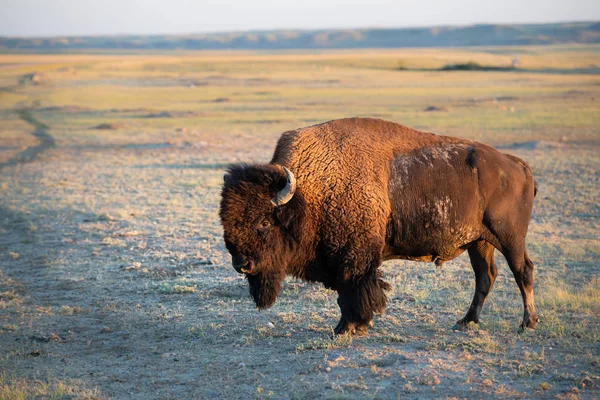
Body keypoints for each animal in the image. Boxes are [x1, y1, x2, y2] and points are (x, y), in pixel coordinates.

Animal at [220, 118, 540, 334]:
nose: (241, 264)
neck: (308, 194)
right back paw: (465, 321)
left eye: (263, 221)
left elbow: (353, 291)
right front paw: (352, 326)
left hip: (508, 237)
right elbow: (347, 294)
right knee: (485, 276)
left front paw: (347, 328)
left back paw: (528, 323)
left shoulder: (354, 259)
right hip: (479, 242)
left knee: (522, 271)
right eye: (226, 220)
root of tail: (516, 164)